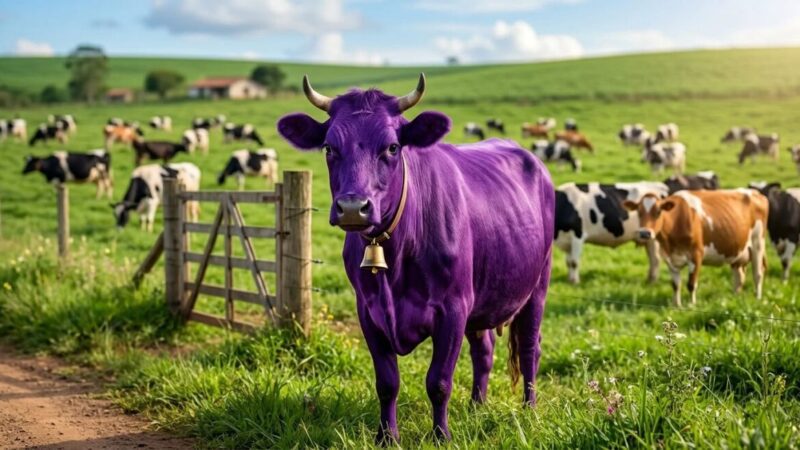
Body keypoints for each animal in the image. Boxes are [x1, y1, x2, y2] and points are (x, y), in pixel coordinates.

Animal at [277, 74, 554, 442]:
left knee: (530, 348)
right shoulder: (368, 311)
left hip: (537, 287)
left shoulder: (453, 308)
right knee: (484, 351)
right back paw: (476, 406)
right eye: (329, 147)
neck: (396, 258)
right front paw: (386, 436)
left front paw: (440, 435)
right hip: (482, 298)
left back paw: (529, 409)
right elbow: (387, 382)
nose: (352, 207)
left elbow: (439, 381)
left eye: (393, 147)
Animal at [625, 189, 768, 306]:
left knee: (758, 273)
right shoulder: (669, 258)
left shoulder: (696, 255)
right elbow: (675, 284)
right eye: (639, 212)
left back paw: (758, 298)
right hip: (738, 252)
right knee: (739, 277)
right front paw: (676, 306)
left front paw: (691, 305)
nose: (645, 233)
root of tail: (757, 193)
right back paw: (735, 297)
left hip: (758, 243)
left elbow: (691, 284)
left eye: (658, 211)